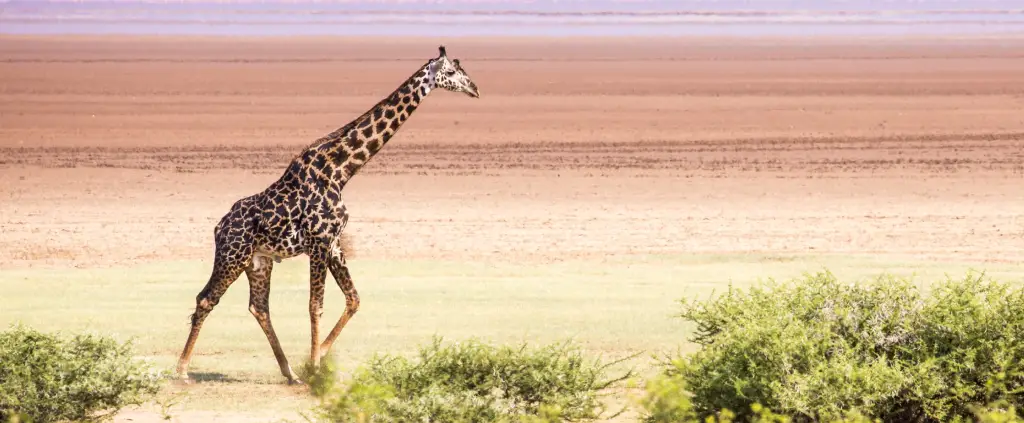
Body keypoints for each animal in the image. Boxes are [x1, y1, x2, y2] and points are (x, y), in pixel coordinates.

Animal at [176, 45, 479, 383]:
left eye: (461, 70)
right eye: (451, 72)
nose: (475, 89)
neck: (340, 170)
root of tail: (219, 227)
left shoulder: (334, 244)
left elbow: (353, 299)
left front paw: (316, 357)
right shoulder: (319, 242)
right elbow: (315, 305)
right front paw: (316, 368)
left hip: (259, 261)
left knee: (259, 307)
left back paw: (289, 372)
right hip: (233, 255)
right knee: (207, 298)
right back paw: (182, 369)